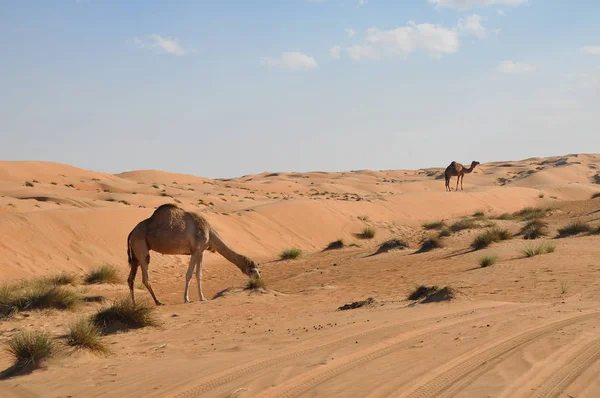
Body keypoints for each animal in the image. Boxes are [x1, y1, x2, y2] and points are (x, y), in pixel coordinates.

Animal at [125, 204, 258, 306]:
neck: (209, 231)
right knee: (145, 277)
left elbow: (199, 274)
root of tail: (131, 232)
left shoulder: (201, 252)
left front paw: (202, 298)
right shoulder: (196, 250)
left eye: (258, 269)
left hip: (135, 254)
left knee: (131, 278)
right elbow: (189, 275)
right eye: (252, 270)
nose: (258, 277)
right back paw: (158, 301)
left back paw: (134, 304)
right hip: (141, 247)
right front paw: (186, 299)